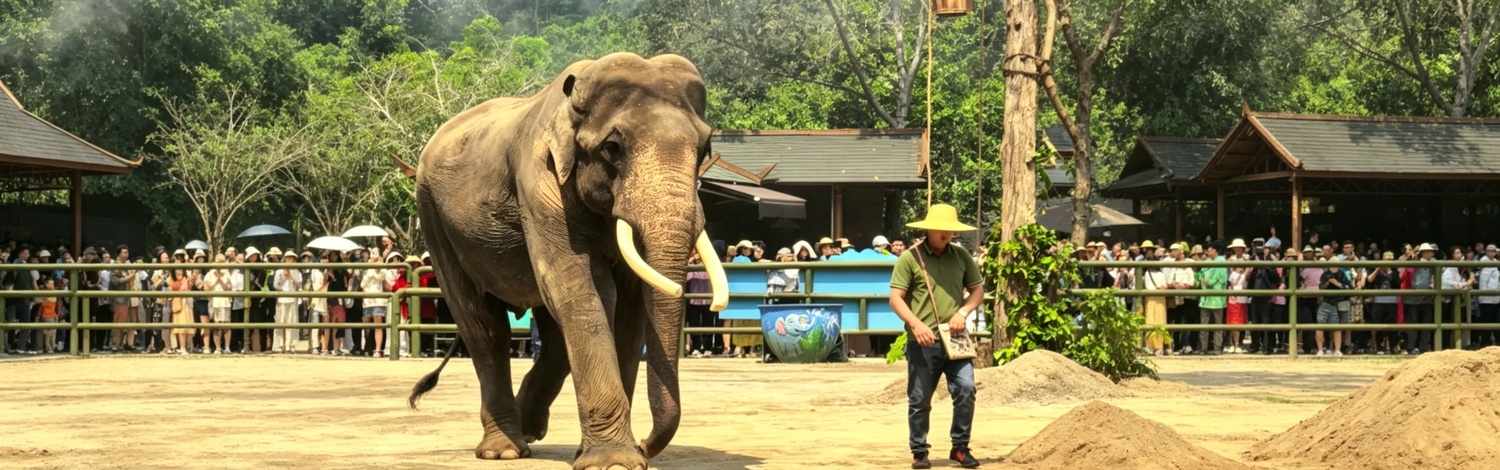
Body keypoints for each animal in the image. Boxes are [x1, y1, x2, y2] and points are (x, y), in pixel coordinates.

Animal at [406, 52, 730, 470]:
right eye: (613, 147)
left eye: (705, 149)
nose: (646, 444)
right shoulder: (540, 185)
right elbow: (583, 290)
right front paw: (614, 462)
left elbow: (627, 309)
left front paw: (616, 456)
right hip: (433, 216)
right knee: (485, 328)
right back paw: (504, 450)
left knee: (553, 333)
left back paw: (529, 428)